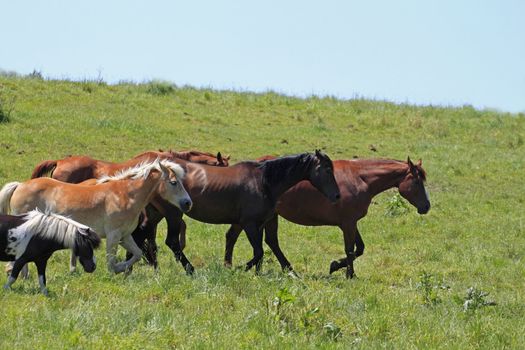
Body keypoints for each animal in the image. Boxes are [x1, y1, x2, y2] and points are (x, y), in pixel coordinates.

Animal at [0, 159, 192, 274]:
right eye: (174, 182)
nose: (187, 203)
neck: (125, 195)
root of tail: (20, 185)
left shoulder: (125, 236)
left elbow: (136, 254)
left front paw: (122, 268)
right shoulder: (113, 236)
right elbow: (111, 261)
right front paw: (115, 270)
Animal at [222, 157, 430, 278]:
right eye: (417, 182)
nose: (426, 207)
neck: (360, 178)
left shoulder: (351, 222)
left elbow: (359, 249)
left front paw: (337, 266)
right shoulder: (348, 223)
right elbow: (350, 250)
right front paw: (347, 274)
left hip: (268, 216)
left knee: (266, 241)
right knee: (239, 237)